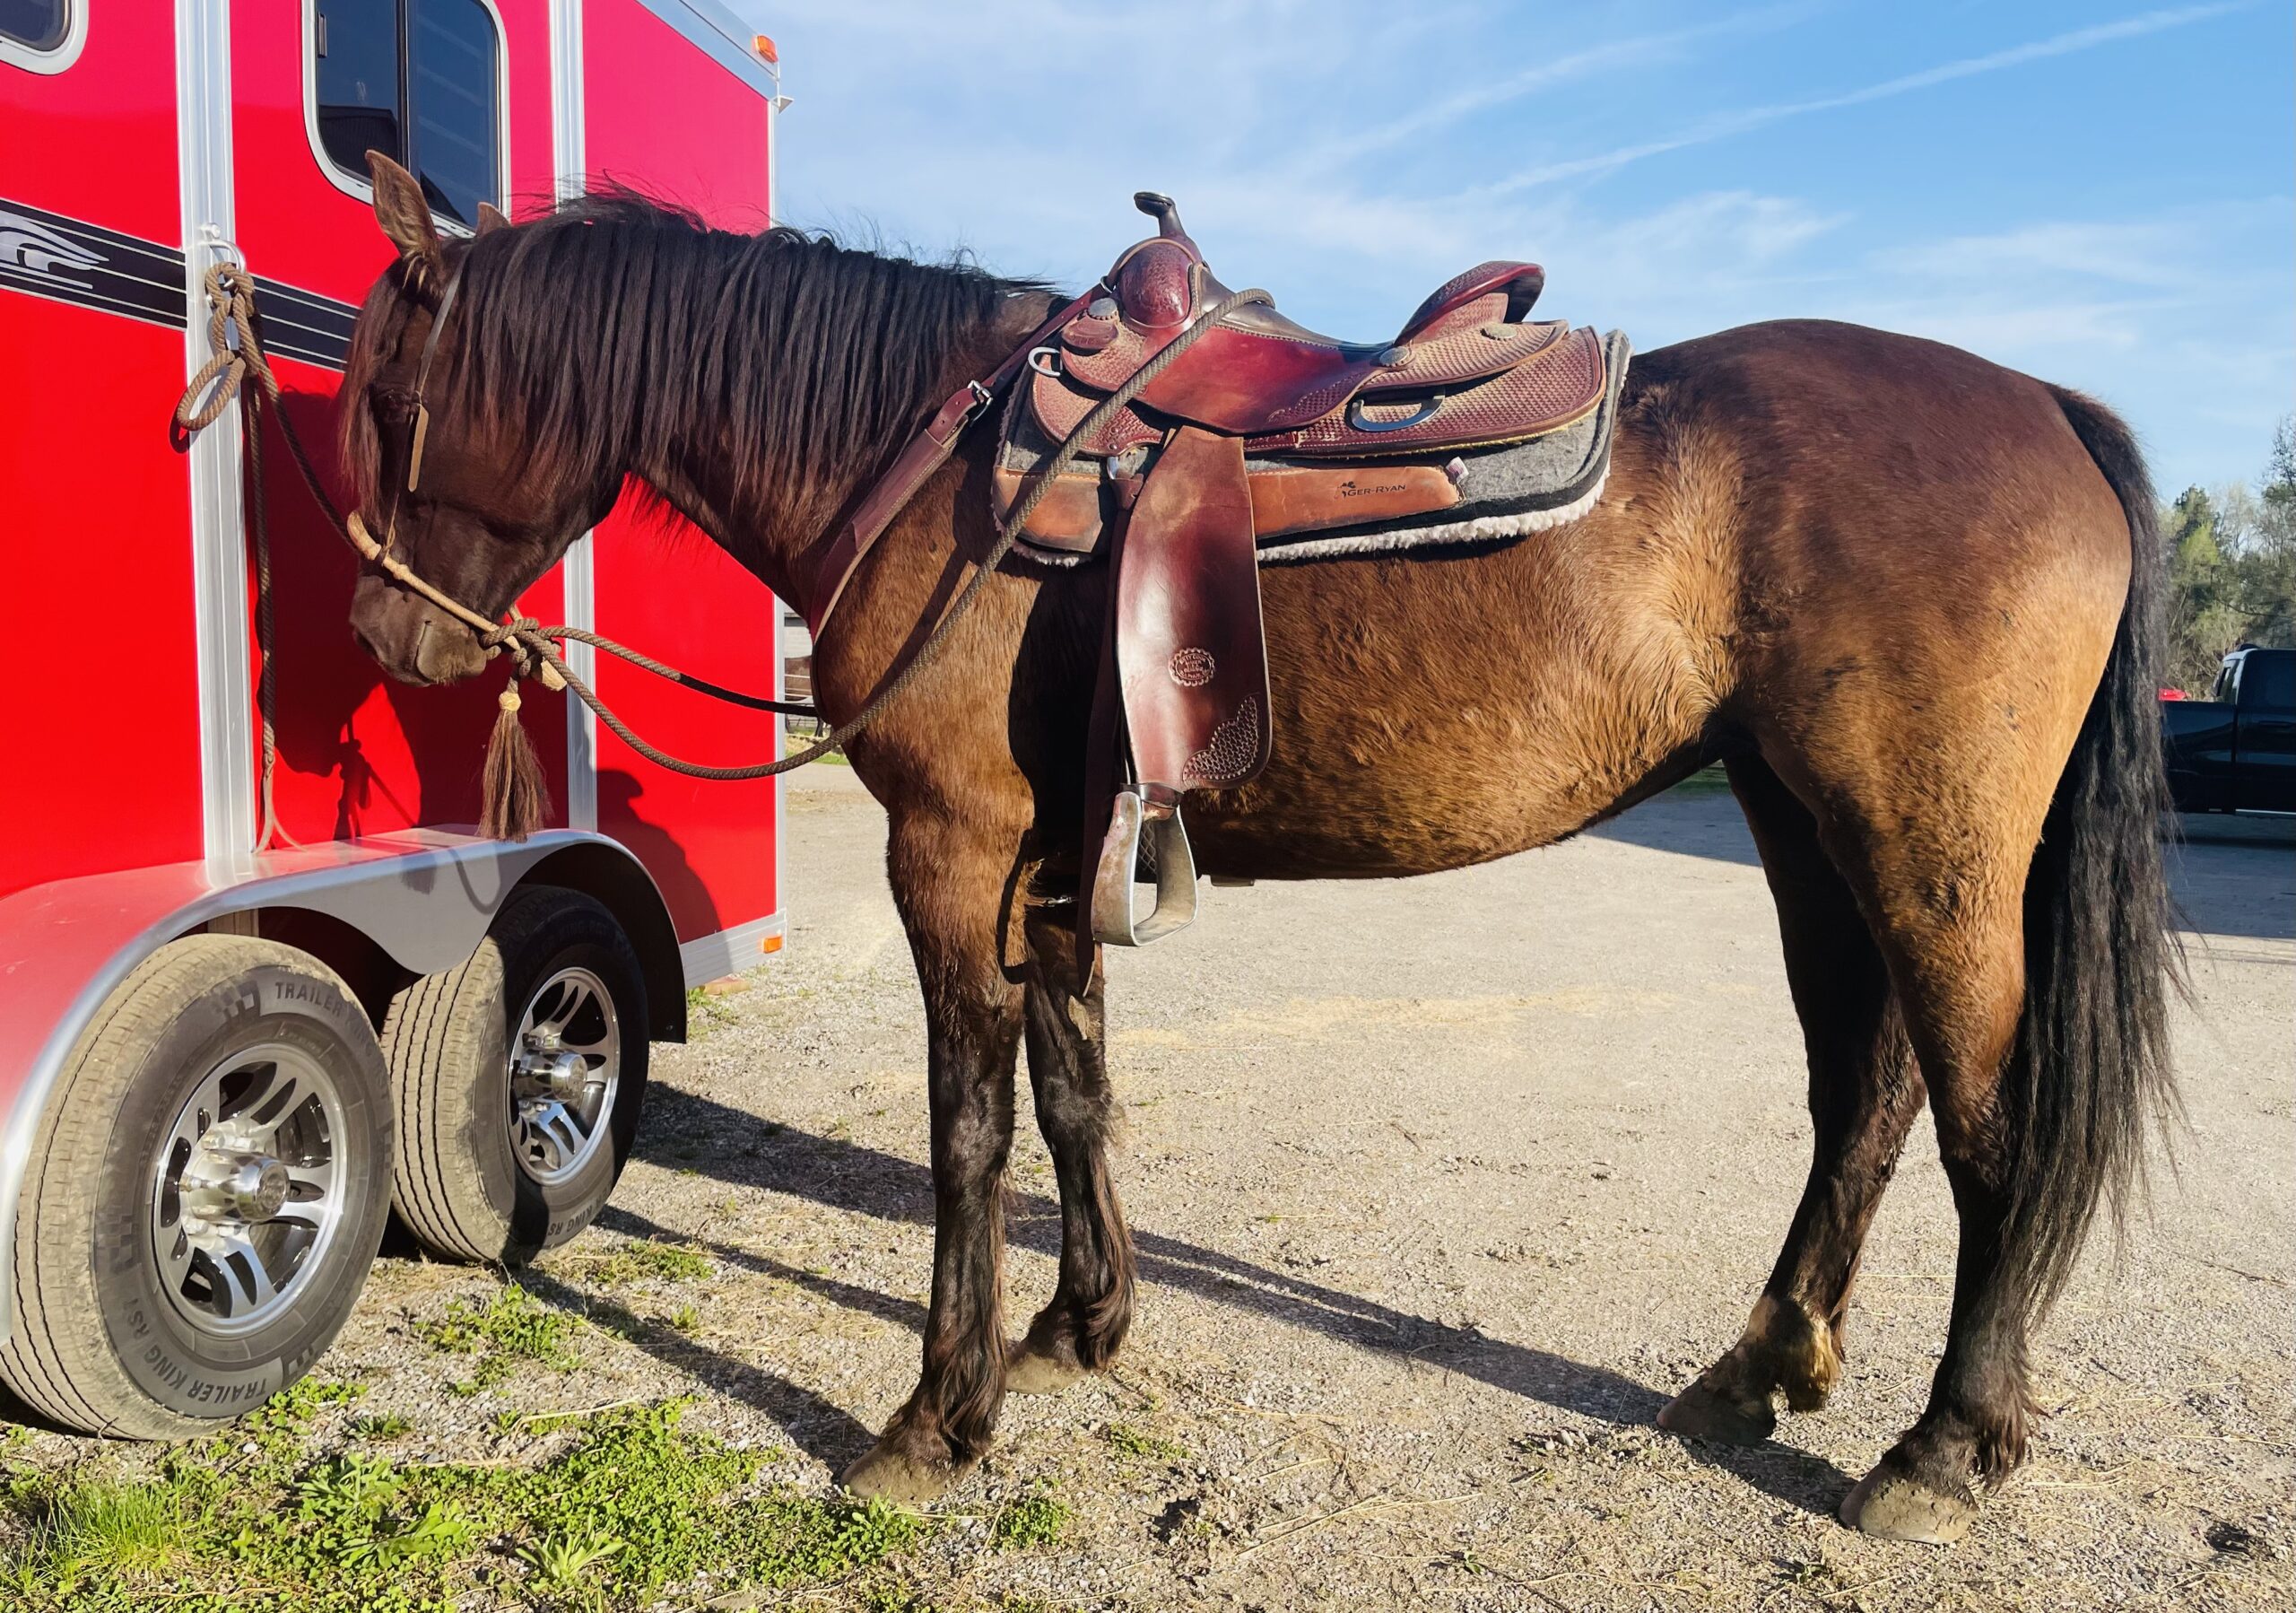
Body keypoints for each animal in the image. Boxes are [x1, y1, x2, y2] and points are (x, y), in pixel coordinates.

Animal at [337, 155, 2177, 1544]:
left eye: (383, 388)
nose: (386, 630)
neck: (938, 464)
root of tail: (2048, 400)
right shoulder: (1051, 864)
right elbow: (1075, 1090)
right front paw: (1078, 1326)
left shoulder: (950, 852)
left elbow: (965, 1133)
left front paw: (938, 1417)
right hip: (1807, 830)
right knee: (1862, 1095)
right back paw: (1760, 1366)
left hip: (1925, 851)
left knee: (1988, 1129)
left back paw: (1944, 1444)